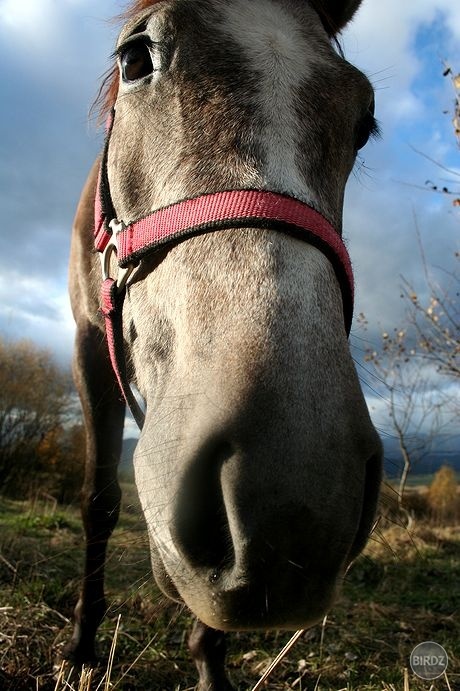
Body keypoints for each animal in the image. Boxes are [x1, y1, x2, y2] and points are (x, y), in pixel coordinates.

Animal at [67, 1, 384, 688]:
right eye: (135, 59)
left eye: (364, 122)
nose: (293, 500)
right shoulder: (87, 344)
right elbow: (99, 502)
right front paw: (80, 647)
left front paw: (209, 661)